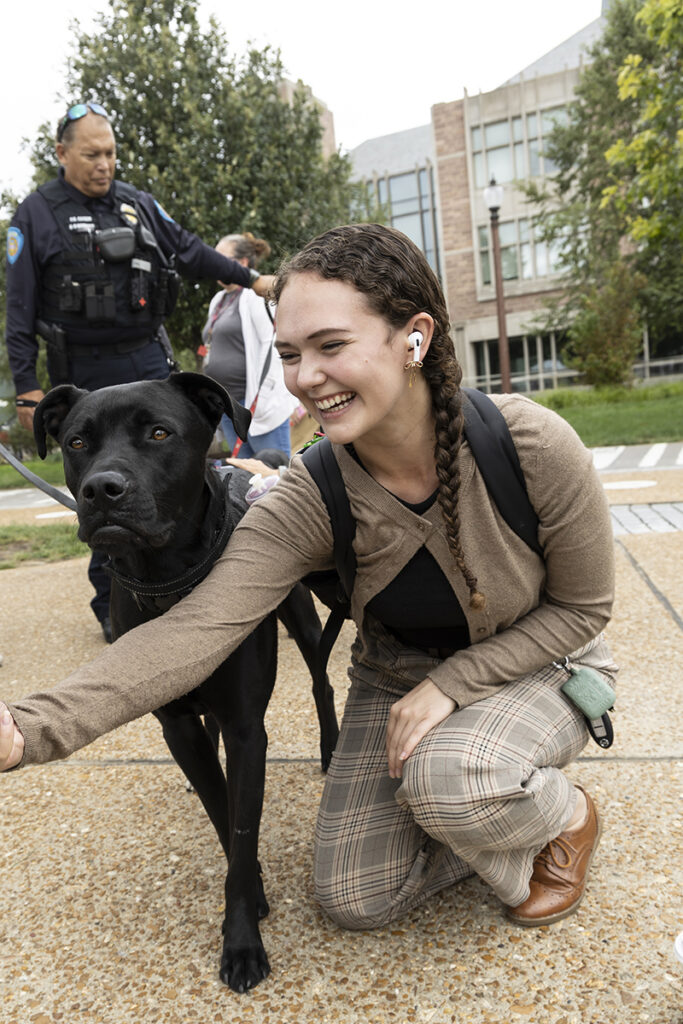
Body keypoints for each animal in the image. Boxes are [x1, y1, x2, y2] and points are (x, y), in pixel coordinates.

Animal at [34, 374, 339, 991]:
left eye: (159, 433)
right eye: (77, 442)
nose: (102, 490)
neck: (169, 581)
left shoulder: (247, 728)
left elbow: (241, 828)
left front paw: (242, 943)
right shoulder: (177, 725)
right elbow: (224, 816)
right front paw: (253, 894)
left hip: (300, 613)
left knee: (322, 683)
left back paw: (330, 748)